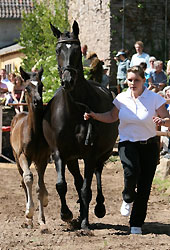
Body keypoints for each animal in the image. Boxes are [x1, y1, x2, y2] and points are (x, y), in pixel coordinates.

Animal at [42, 21, 118, 229]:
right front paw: (66, 214)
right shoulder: (59, 153)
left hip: (103, 153)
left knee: (96, 175)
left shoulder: (90, 154)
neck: (75, 110)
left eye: (77, 50)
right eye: (58, 50)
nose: (68, 80)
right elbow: (62, 185)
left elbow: (86, 188)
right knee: (77, 181)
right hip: (72, 158)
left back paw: (98, 208)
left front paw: (84, 222)